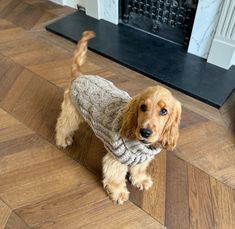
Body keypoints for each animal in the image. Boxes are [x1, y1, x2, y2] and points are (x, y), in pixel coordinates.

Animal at [55, 30, 182, 204]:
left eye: (164, 111)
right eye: (143, 107)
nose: (145, 132)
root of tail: (79, 75)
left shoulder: (141, 159)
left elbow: (138, 169)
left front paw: (140, 180)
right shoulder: (116, 159)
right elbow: (115, 178)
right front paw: (118, 193)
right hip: (71, 114)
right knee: (62, 126)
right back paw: (62, 140)